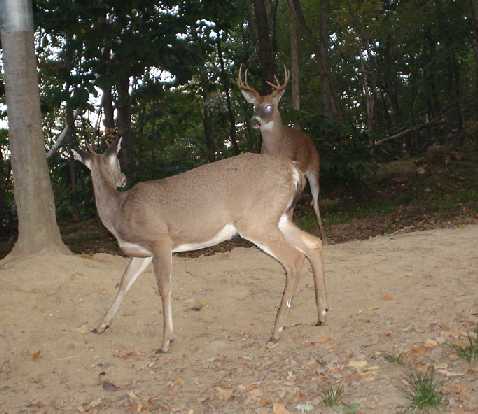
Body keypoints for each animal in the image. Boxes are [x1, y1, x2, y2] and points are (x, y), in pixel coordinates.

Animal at [73, 138, 326, 352]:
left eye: (116, 159)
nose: (123, 178)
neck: (119, 211)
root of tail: (294, 171)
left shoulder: (160, 240)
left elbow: (164, 288)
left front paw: (166, 341)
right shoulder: (143, 252)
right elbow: (123, 283)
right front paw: (101, 325)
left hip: (256, 221)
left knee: (295, 259)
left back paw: (276, 331)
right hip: (277, 218)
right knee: (313, 243)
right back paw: (321, 314)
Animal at [237, 66, 326, 244]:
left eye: (269, 107)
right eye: (254, 106)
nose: (254, 121)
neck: (276, 149)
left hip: (314, 168)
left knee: (315, 201)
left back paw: (324, 237)